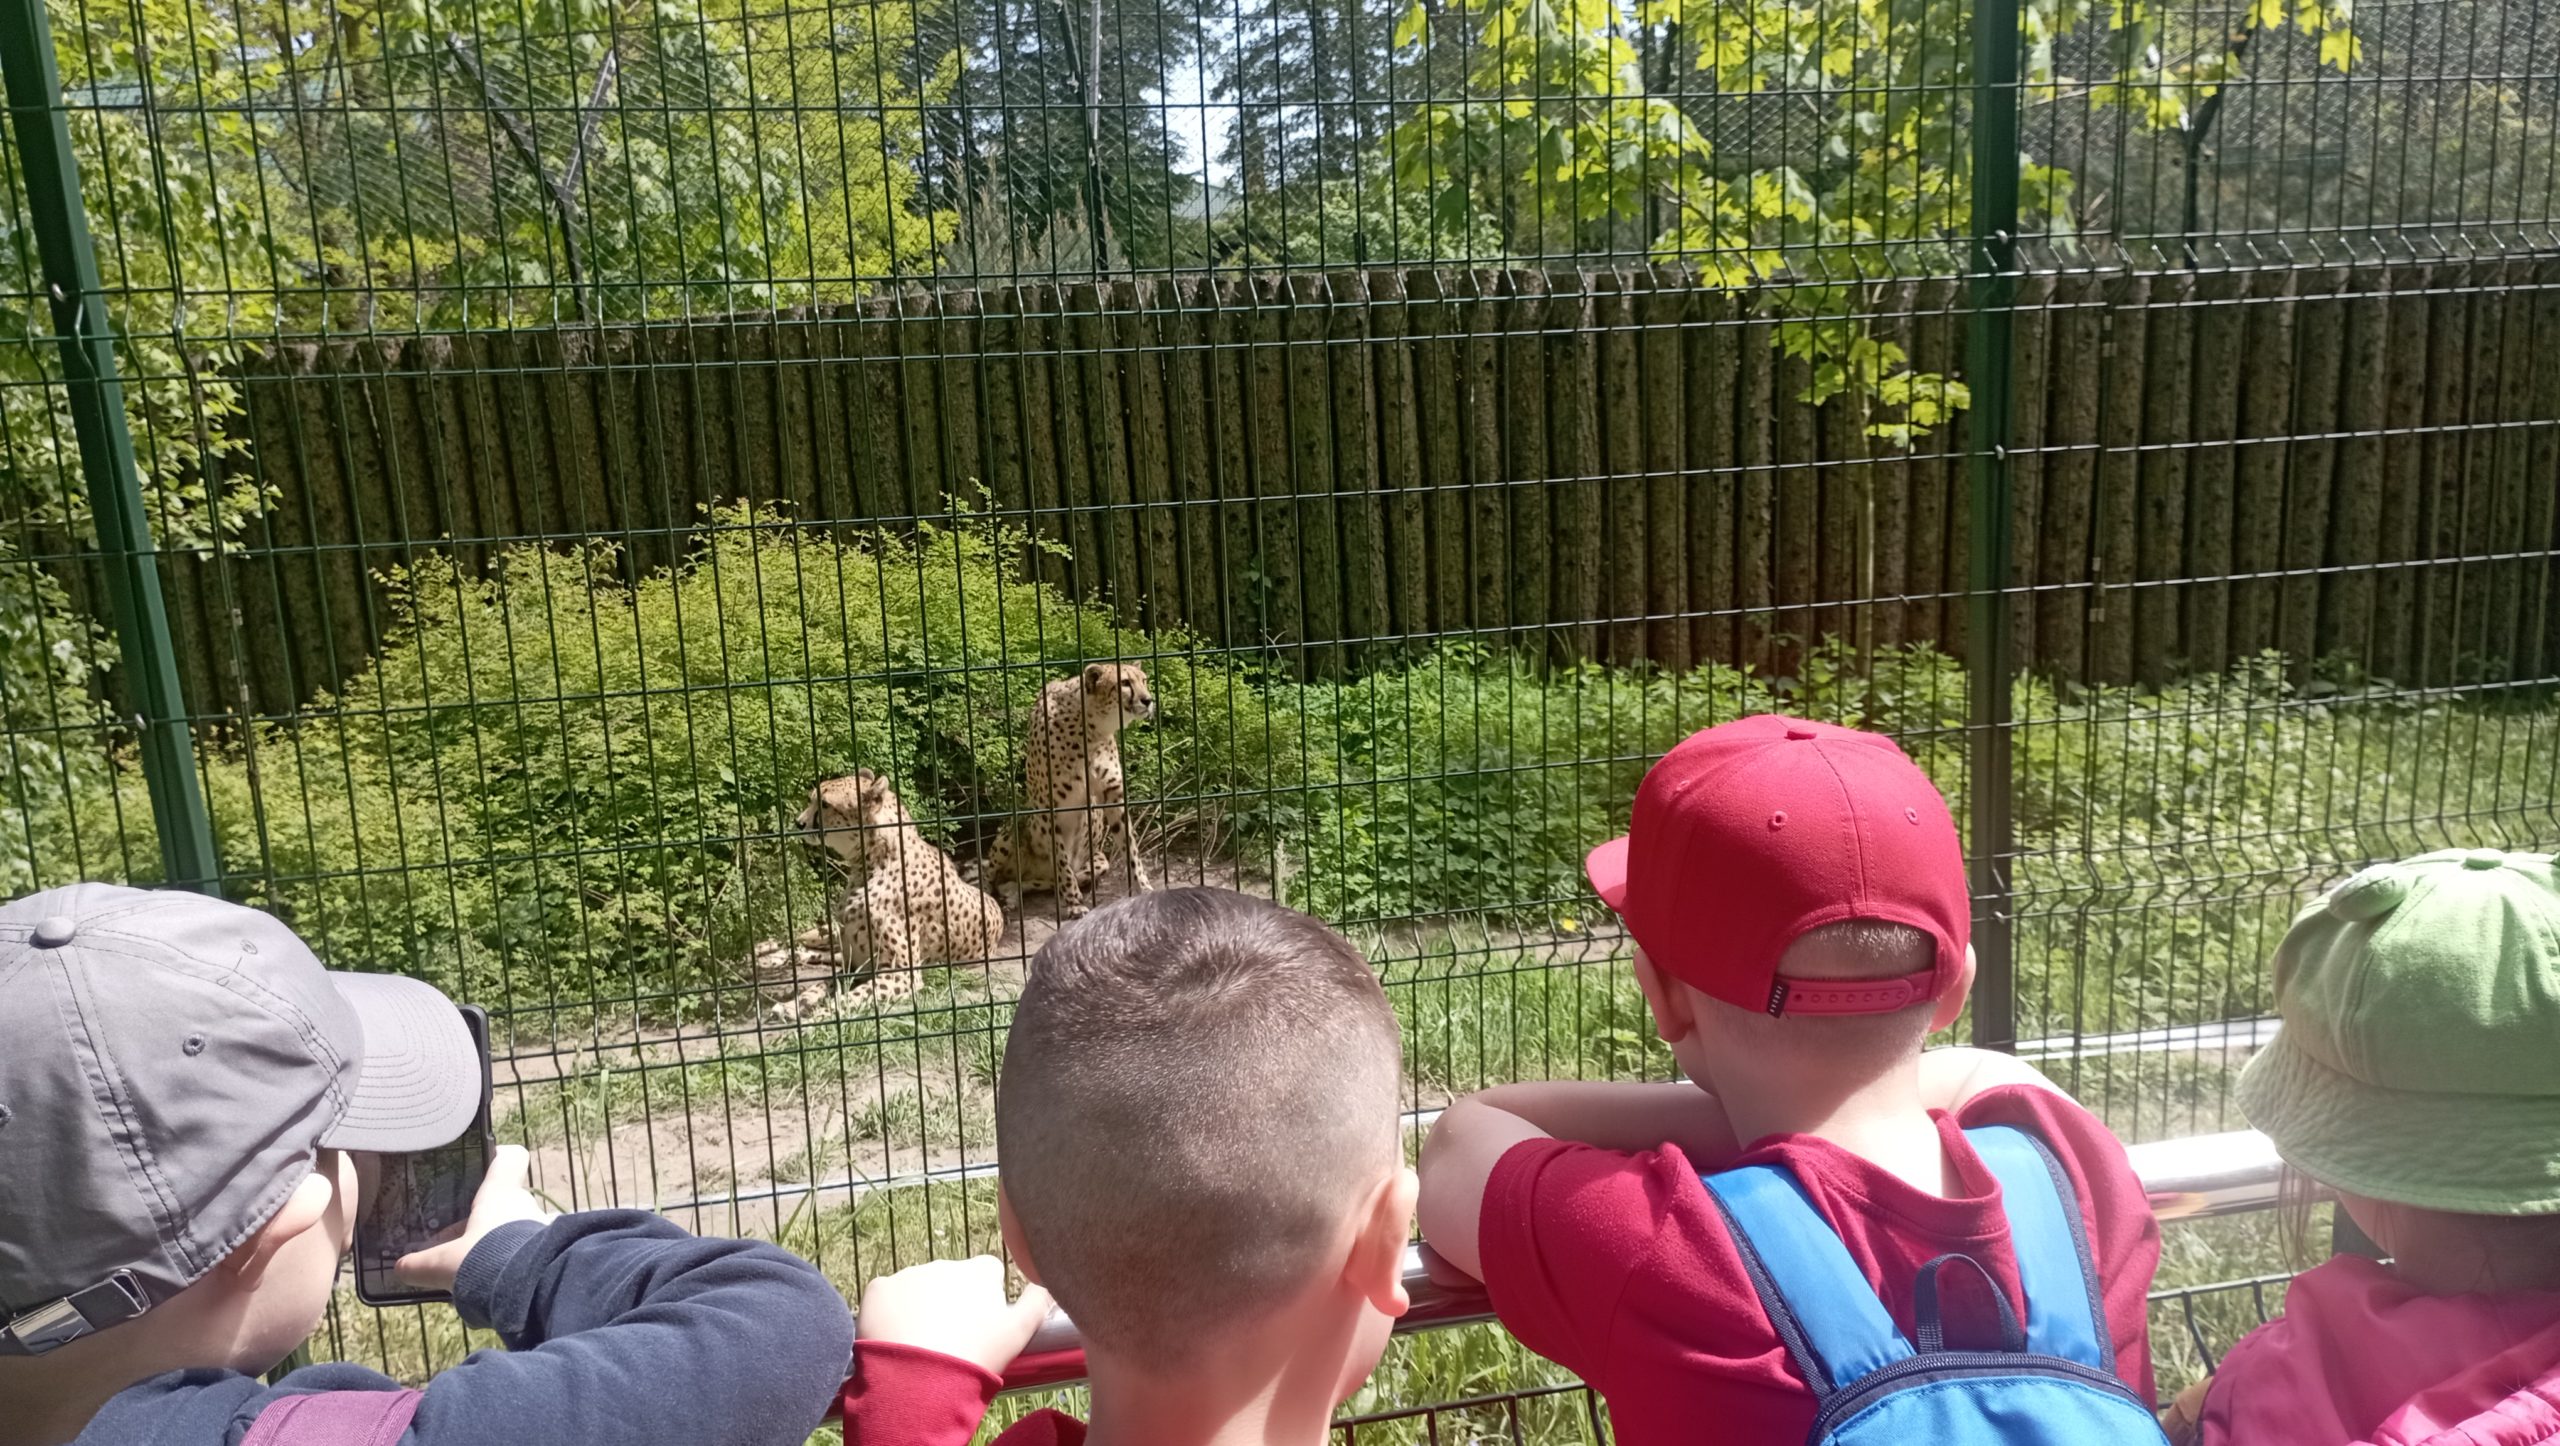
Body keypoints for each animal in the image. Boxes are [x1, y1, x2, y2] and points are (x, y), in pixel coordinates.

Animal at [747, 772, 1003, 1018]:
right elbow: (822, 984)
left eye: (825, 804)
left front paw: (819, 1017)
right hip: (830, 934)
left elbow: (848, 998)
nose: (799, 823)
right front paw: (794, 1005)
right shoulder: (853, 965)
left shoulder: (902, 974)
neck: (873, 863)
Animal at [983, 660, 1157, 921]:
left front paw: (1144, 888)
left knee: (1037, 882)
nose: (1148, 700)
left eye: (1144, 680)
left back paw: (1012, 892)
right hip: (1015, 828)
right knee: (991, 878)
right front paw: (1074, 903)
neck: (1092, 728)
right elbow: (1062, 862)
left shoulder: (1113, 796)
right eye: (1125, 682)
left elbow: (1131, 849)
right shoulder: (1048, 806)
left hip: (1098, 861)